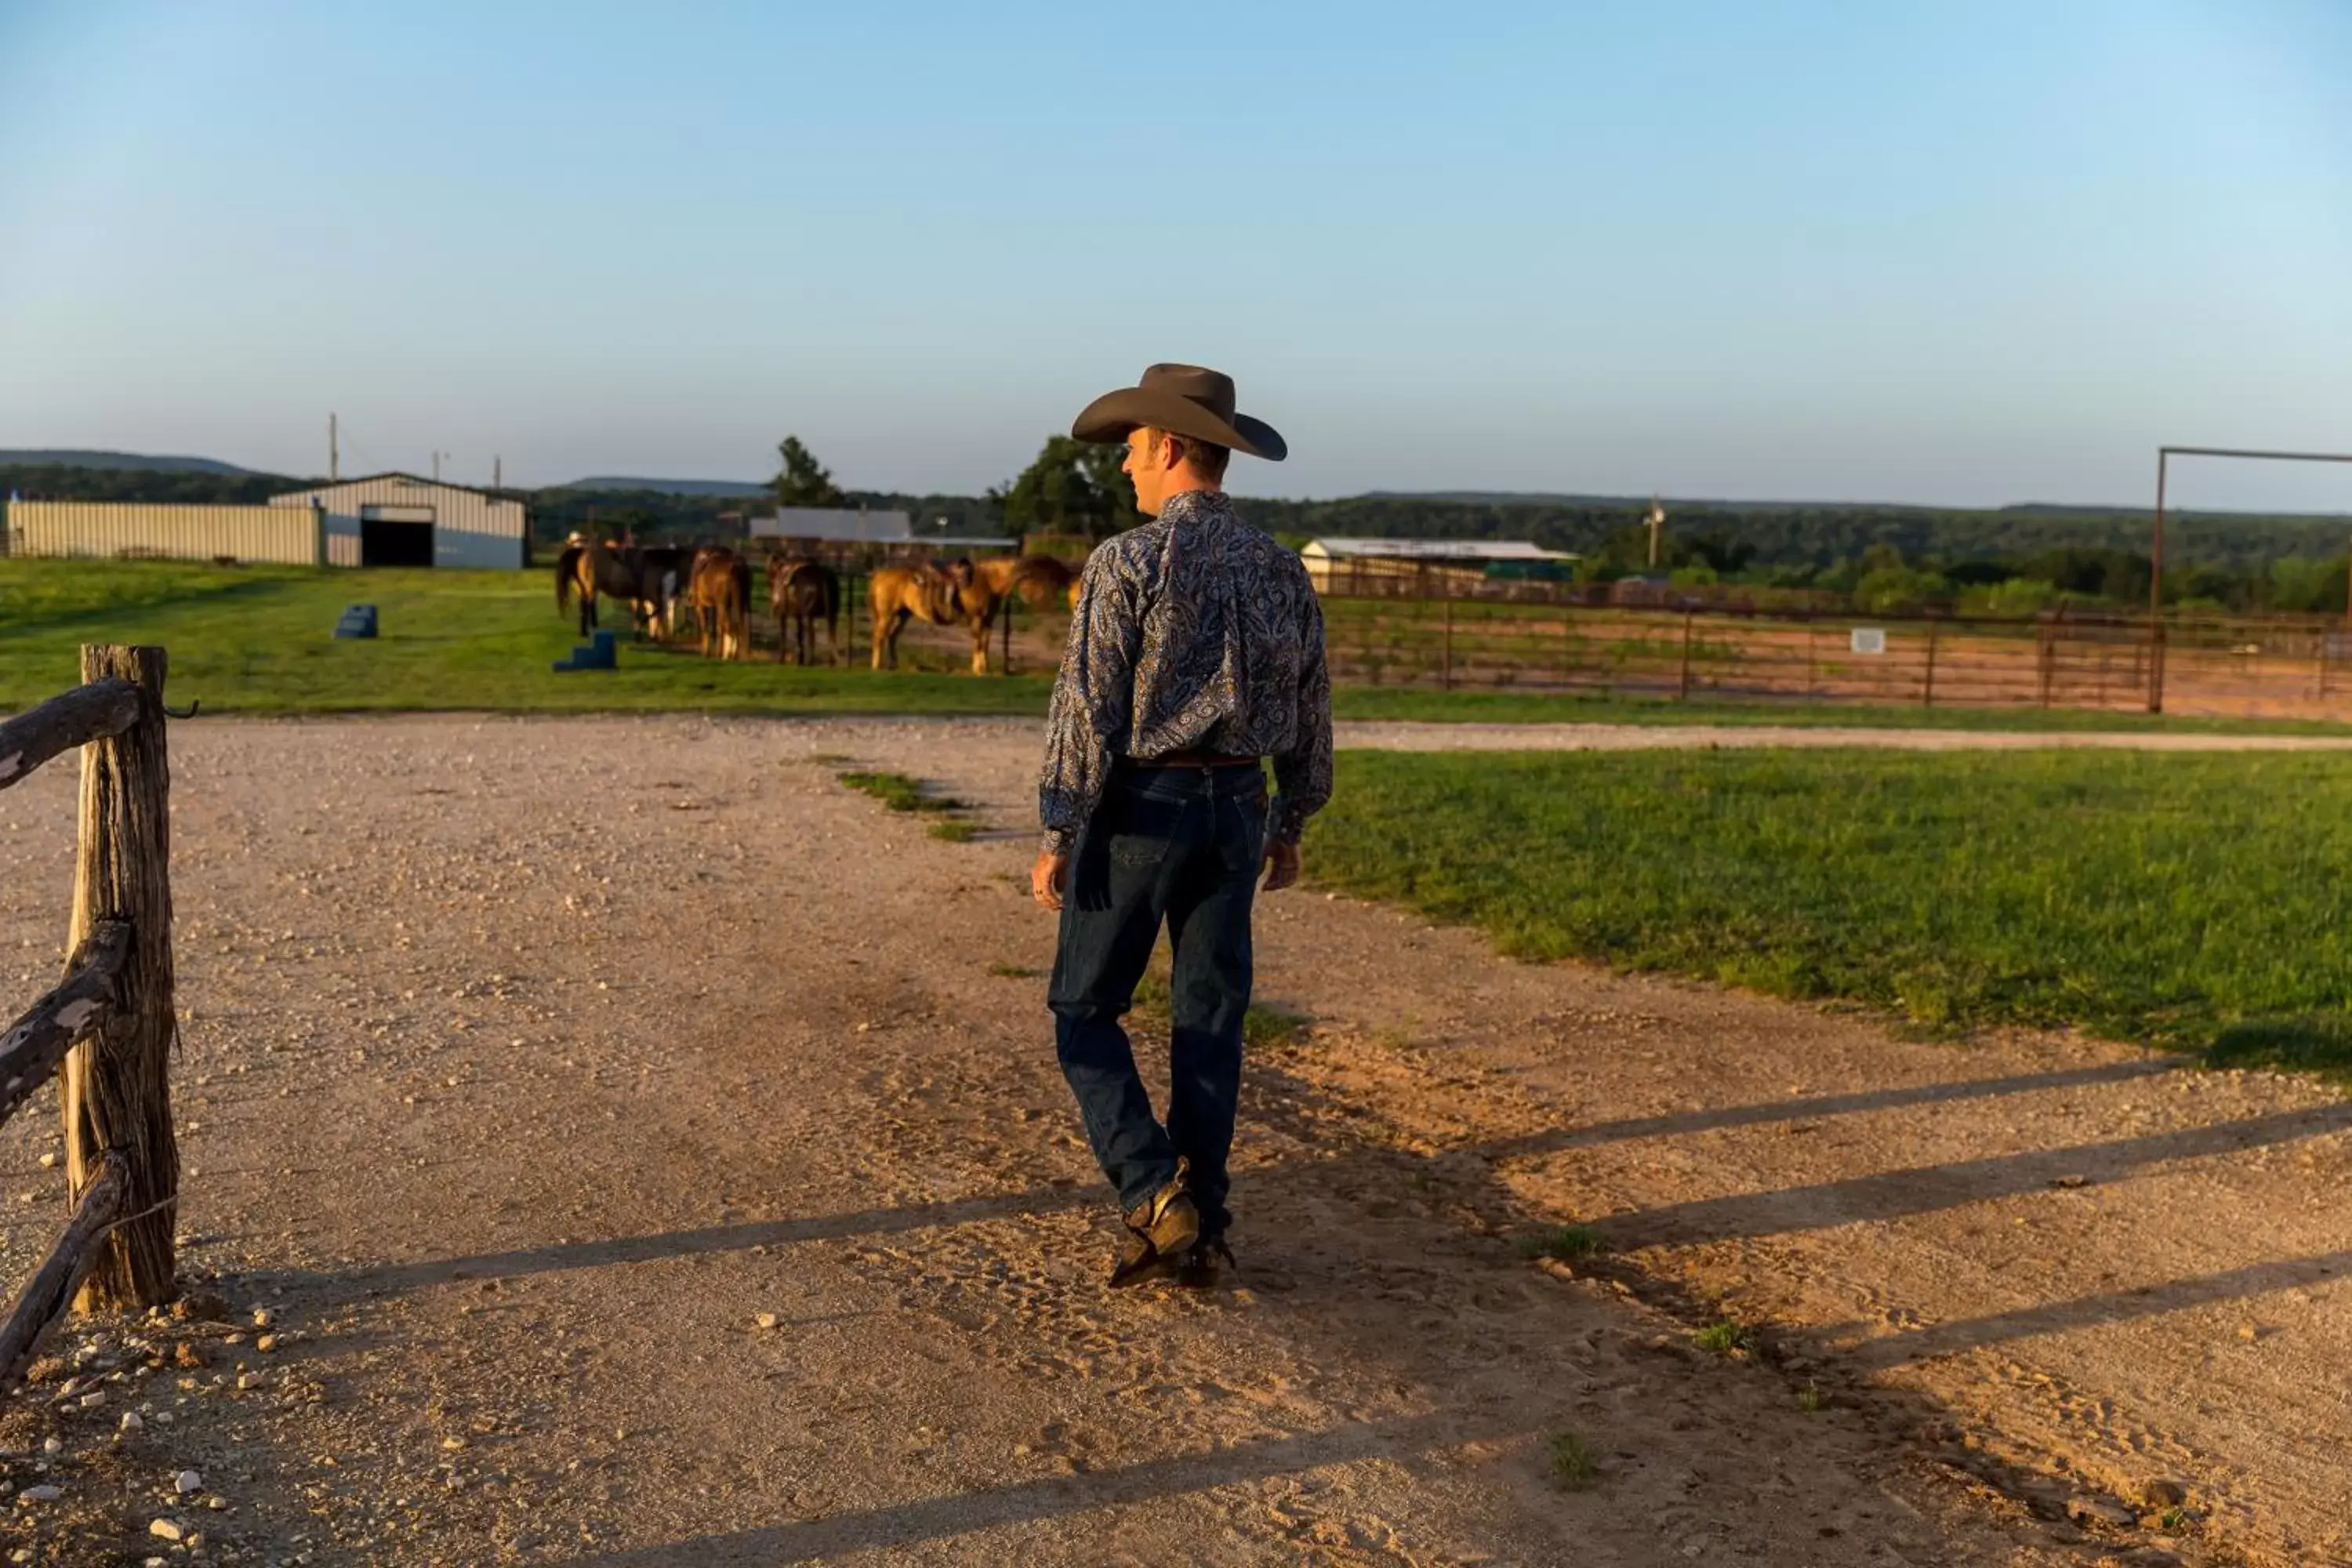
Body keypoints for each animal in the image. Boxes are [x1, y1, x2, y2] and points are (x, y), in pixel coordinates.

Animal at [687, 550, 753, 658]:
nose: (690, 597)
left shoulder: (703, 605)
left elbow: (706, 626)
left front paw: (707, 652)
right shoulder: (721, 605)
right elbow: (722, 625)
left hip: (724, 604)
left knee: (727, 625)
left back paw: (726, 653)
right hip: (743, 602)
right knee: (741, 624)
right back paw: (737, 653)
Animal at [767, 554, 842, 667]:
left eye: (772, 575)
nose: (774, 601)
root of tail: (824, 579)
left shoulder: (784, 614)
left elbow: (785, 634)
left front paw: (783, 660)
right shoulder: (799, 616)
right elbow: (800, 635)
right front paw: (800, 661)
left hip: (809, 615)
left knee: (812, 636)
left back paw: (811, 661)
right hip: (832, 615)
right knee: (831, 635)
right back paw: (830, 662)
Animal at [870, 554, 1077, 672]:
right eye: (1034, 576)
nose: (1033, 597)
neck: (988, 582)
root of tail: (880, 575)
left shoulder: (987, 621)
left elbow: (985, 643)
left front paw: (984, 668)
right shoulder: (977, 619)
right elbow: (978, 643)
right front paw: (978, 668)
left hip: (902, 614)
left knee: (892, 637)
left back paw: (893, 665)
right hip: (887, 615)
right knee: (880, 637)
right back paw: (877, 666)